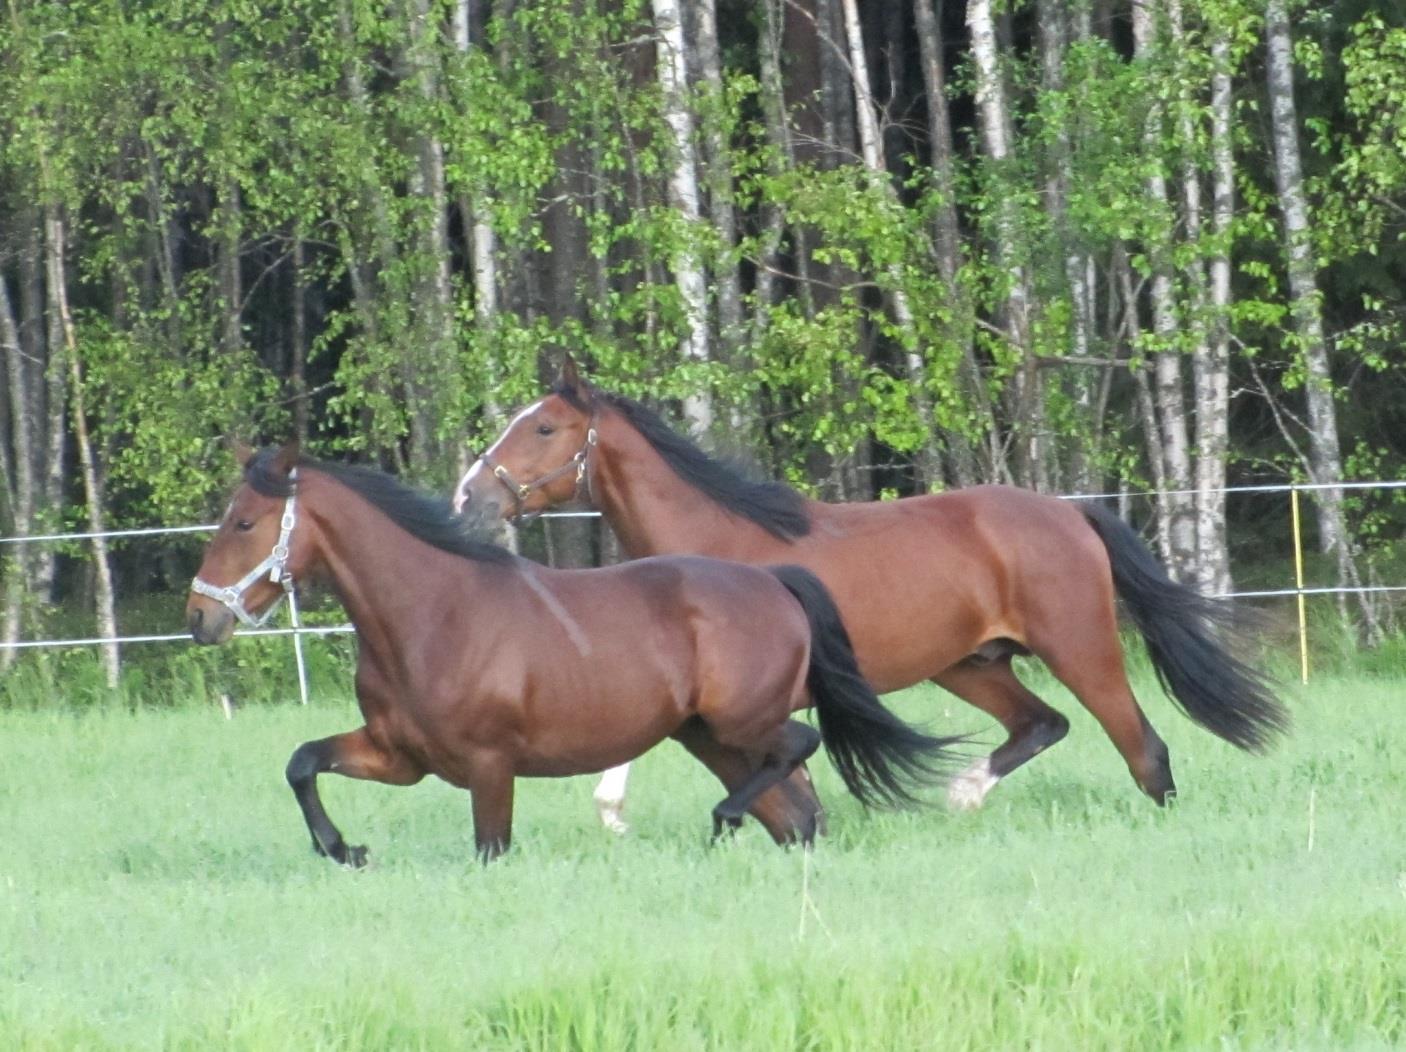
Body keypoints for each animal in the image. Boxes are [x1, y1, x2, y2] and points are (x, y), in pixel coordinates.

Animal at [186, 444, 956, 860]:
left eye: (245, 522)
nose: (199, 617)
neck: (432, 616)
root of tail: (774, 581)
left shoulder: (490, 766)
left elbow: (490, 849)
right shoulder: (400, 757)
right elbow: (303, 763)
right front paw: (342, 848)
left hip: (741, 723)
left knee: (800, 748)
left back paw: (722, 819)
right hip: (711, 738)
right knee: (797, 814)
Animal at [455, 362, 1287, 832]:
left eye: (544, 427)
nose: (470, 496)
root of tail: (1069, 512)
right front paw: (615, 814)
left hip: (1080, 648)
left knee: (1143, 751)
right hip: (971, 664)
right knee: (1041, 726)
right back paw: (961, 798)